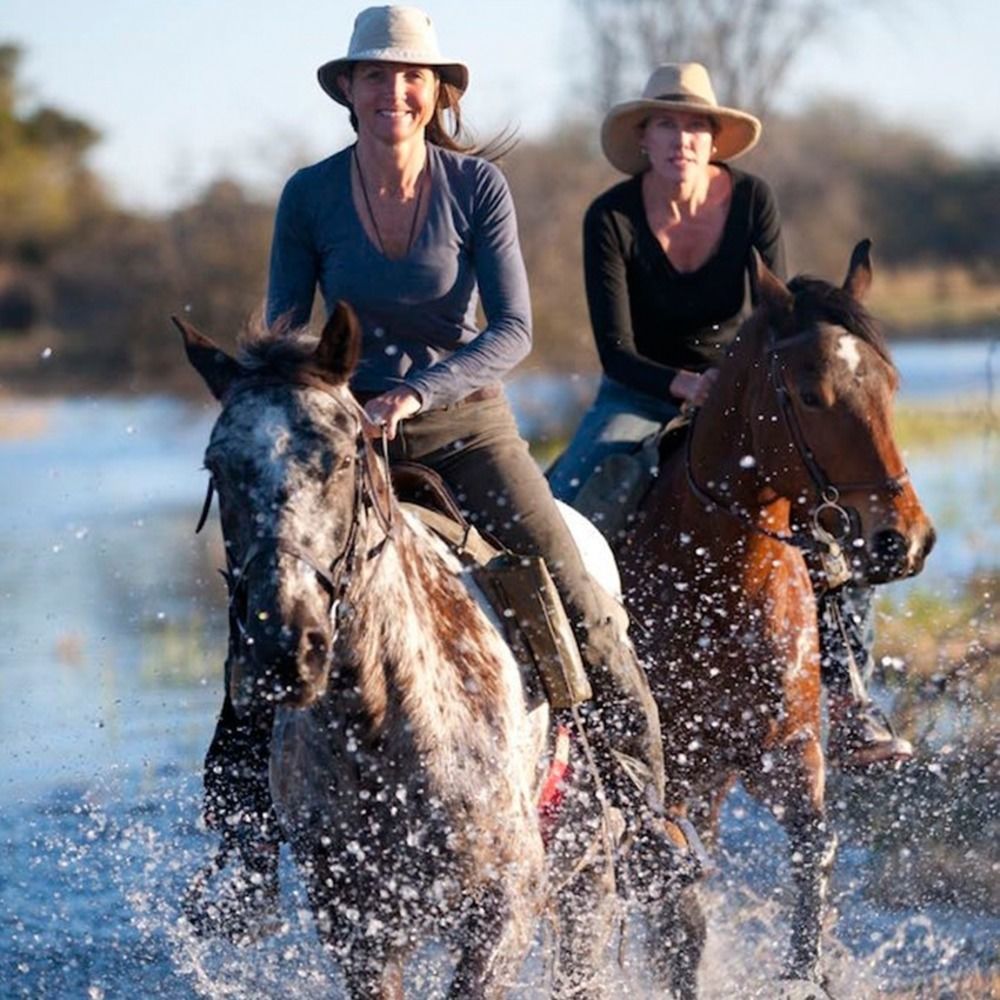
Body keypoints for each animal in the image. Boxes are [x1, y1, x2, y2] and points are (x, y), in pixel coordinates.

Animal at [616, 240, 936, 992]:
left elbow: (814, 844)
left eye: (890, 385)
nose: (904, 540)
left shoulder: (783, 750)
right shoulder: (670, 773)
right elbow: (678, 921)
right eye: (811, 395)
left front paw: (804, 972)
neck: (717, 584)